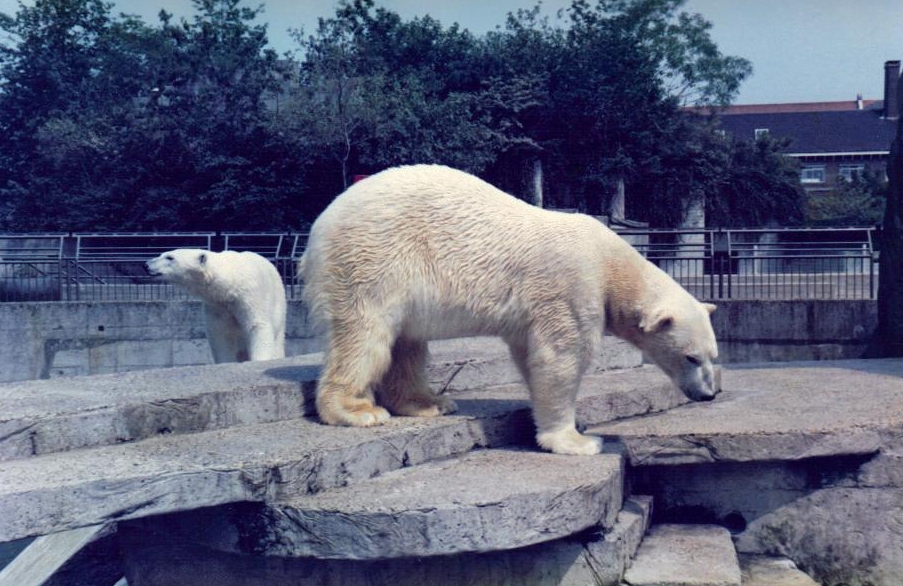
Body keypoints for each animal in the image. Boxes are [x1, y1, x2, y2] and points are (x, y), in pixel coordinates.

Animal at [146, 249, 287, 363]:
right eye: (162, 254)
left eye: (170, 257)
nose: (146, 265)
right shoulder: (216, 304)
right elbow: (220, 333)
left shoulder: (250, 294)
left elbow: (257, 325)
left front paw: (259, 359)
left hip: (279, 307)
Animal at [299, 164, 718, 455]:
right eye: (691, 357)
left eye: (713, 355)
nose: (710, 395)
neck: (611, 262)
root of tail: (319, 225)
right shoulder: (571, 288)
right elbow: (561, 358)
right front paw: (576, 441)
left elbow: (529, 356)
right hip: (372, 259)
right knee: (365, 334)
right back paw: (357, 411)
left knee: (407, 342)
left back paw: (428, 403)